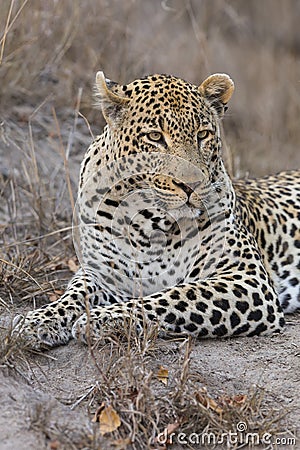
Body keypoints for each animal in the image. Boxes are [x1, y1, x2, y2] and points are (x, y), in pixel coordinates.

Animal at [15, 70, 300, 346]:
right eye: (155, 137)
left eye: (202, 135)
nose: (192, 185)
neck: (148, 223)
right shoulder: (102, 271)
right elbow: (74, 294)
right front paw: (38, 321)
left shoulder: (247, 278)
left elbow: (176, 295)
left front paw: (100, 319)